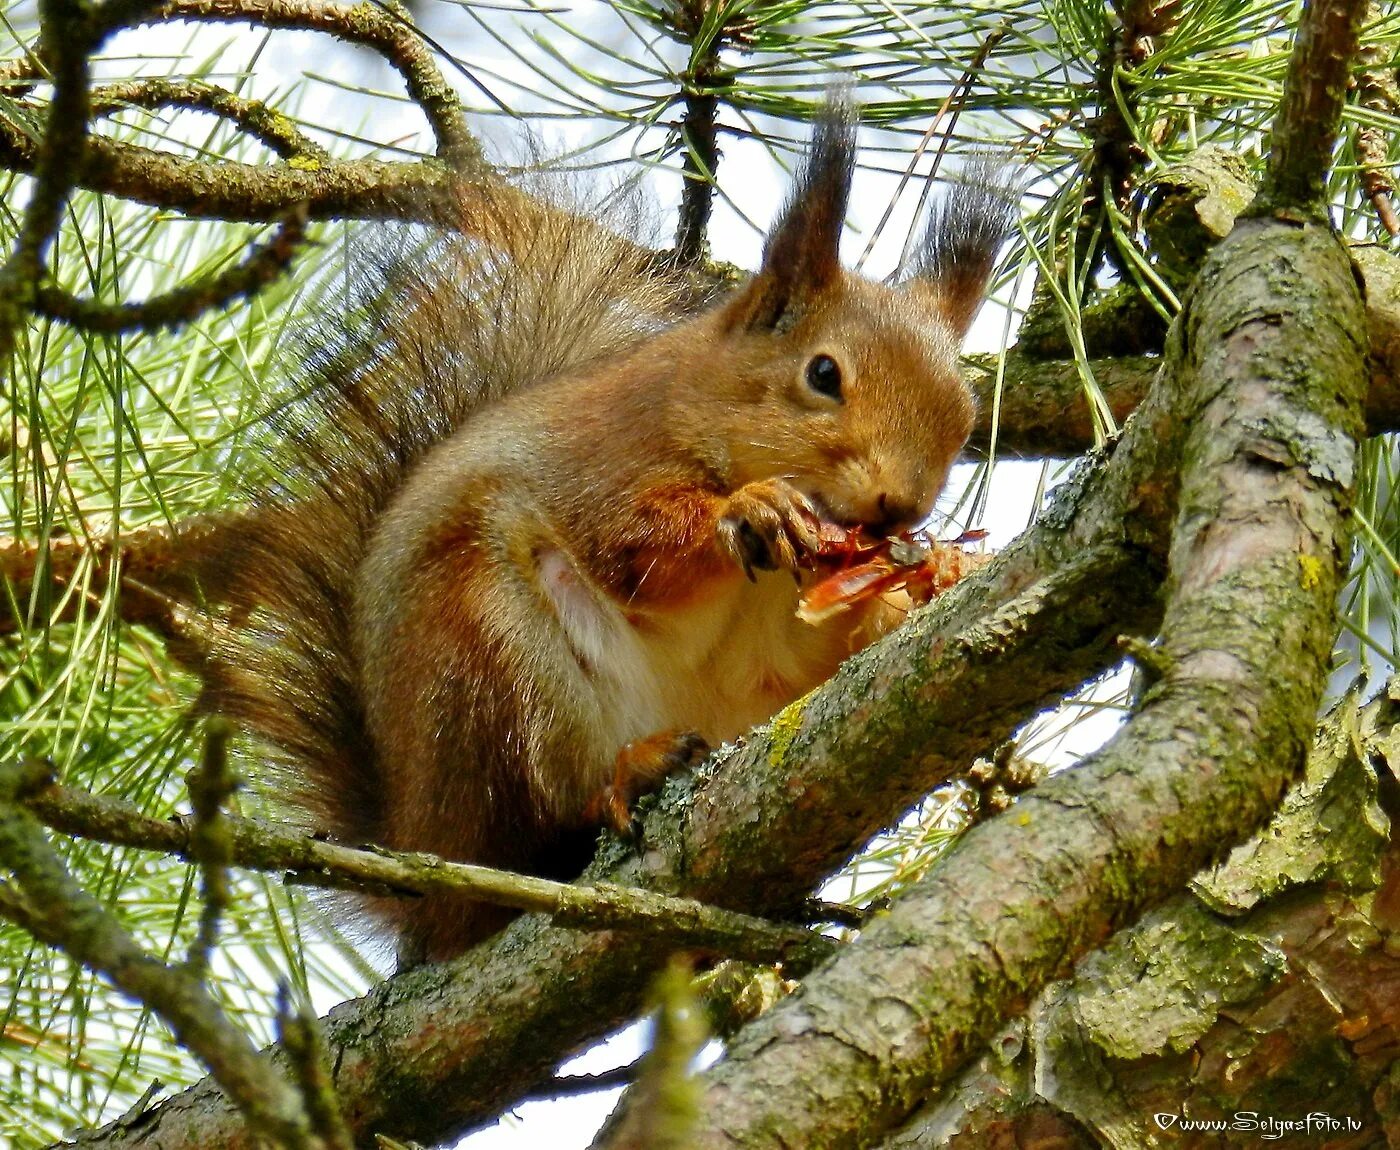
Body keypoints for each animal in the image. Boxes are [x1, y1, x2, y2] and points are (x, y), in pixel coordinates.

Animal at [191, 109, 1013, 969]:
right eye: (824, 375)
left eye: (965, 413)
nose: (899, 508)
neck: (696, 406)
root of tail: (420, 864)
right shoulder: (603, 464)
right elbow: (635, 548)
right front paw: (751, 511)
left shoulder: (784, 638)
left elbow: (814, 654)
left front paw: (940, 570)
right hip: (485, 651)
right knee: (540, 820)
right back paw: (626, 778)